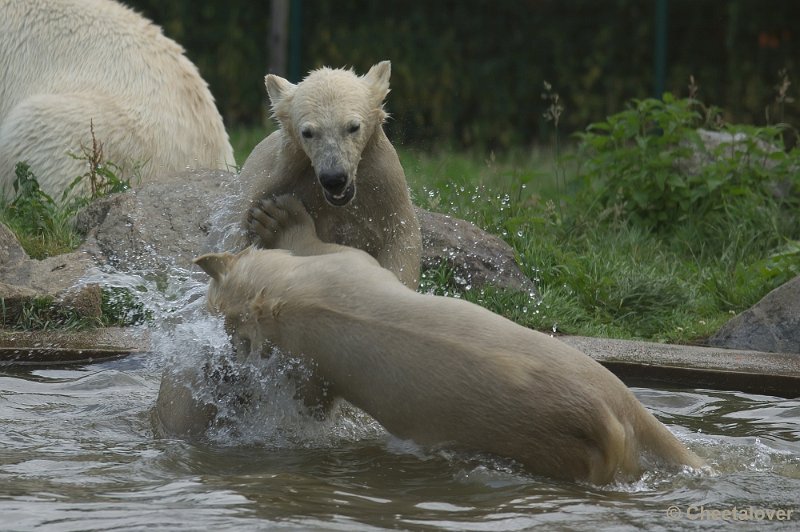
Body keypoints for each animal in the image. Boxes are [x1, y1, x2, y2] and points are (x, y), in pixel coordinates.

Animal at [195, 196, 708, 486]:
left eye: (226, 330)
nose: (225, 360)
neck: (286, 300)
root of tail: (616, 411)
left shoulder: (342, 273)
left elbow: (330, 248)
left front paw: (275, 217)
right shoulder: (313, 347)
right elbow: (312, 402)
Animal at [239, 60, 422, 288]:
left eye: (353, 127)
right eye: (307, 132)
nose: (334, 179)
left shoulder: (384, 185)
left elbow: (399, 240)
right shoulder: (268, 181)